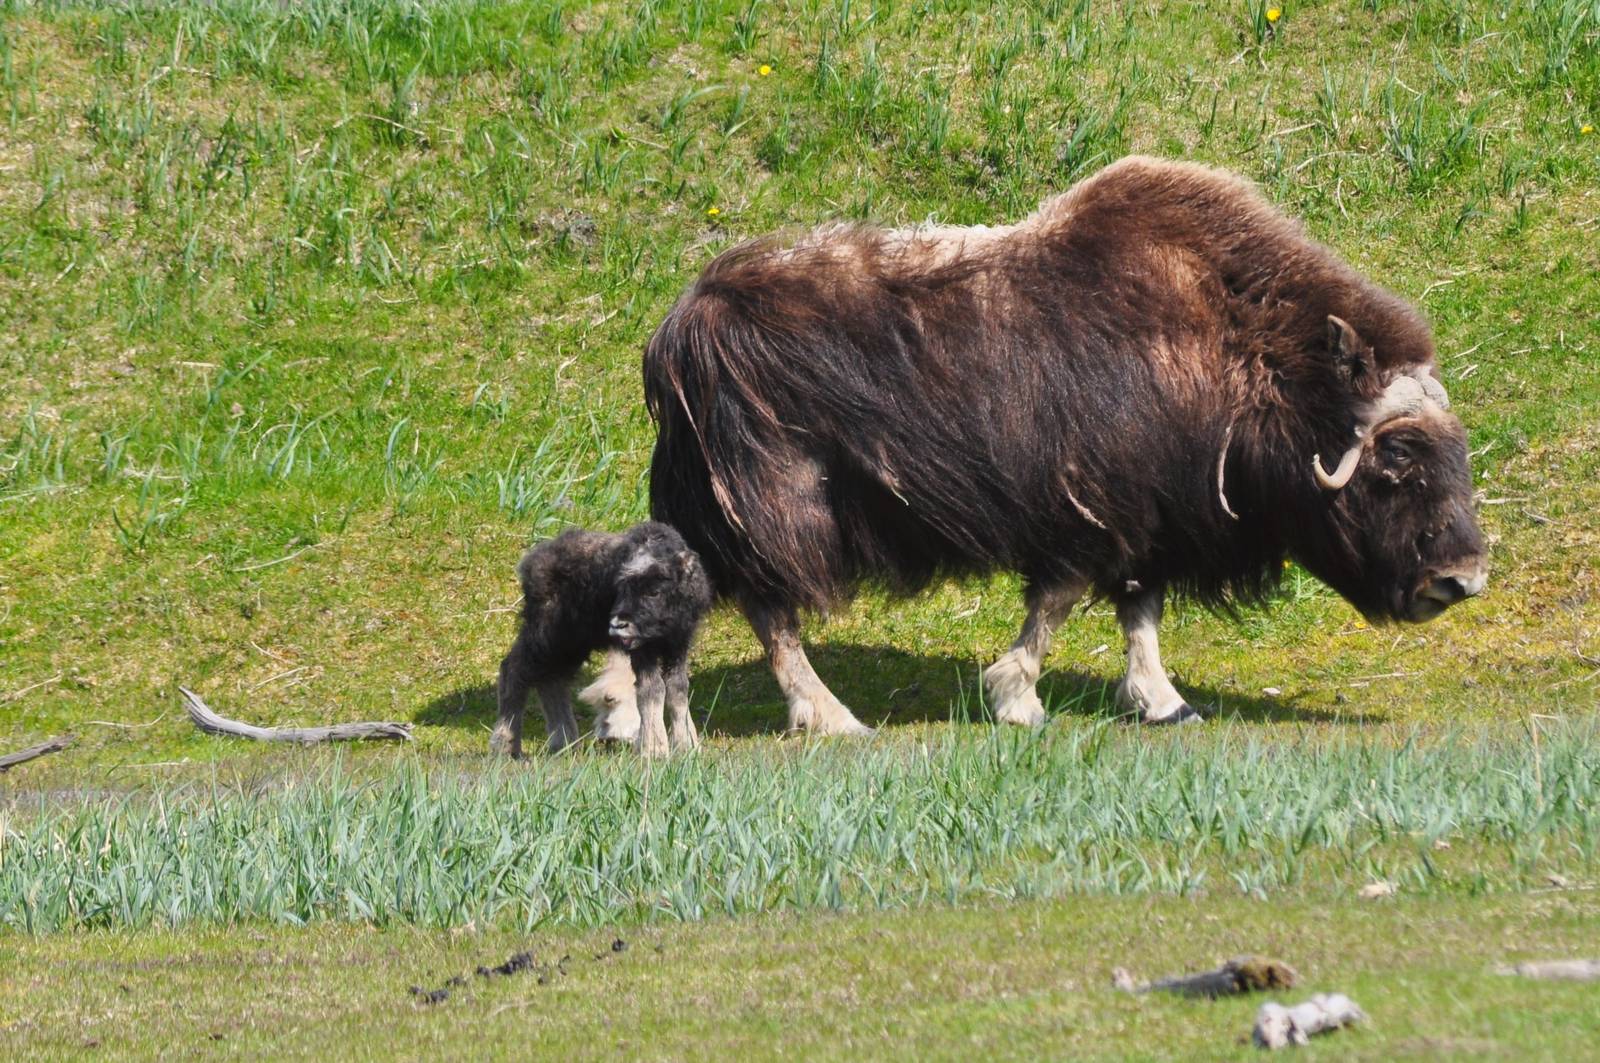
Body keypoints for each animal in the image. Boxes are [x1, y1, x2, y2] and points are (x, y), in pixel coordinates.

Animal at [589, 156, 1487, 738]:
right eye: (1396, 460)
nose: (1463, 579)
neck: (1236, 351)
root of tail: (679, 329)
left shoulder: (1153, 518)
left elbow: (1139, 609)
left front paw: (1164, 701)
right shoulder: (1093, 511)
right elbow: (1058, 602)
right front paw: (1016, 698)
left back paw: (625, 711)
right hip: (778, 508)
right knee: (770, 610)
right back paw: (831, 717)